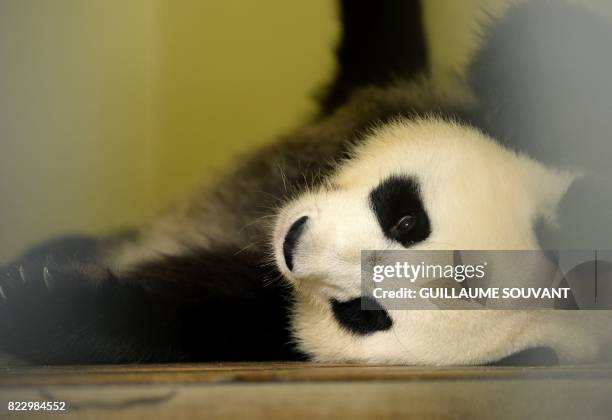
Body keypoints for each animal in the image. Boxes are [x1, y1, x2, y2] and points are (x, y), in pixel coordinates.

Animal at [1, 0, 612, 364]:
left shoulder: (269, 312)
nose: (296, 245)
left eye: (364, 313)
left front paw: (38, 301)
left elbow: (199, 318)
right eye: (406, 218)